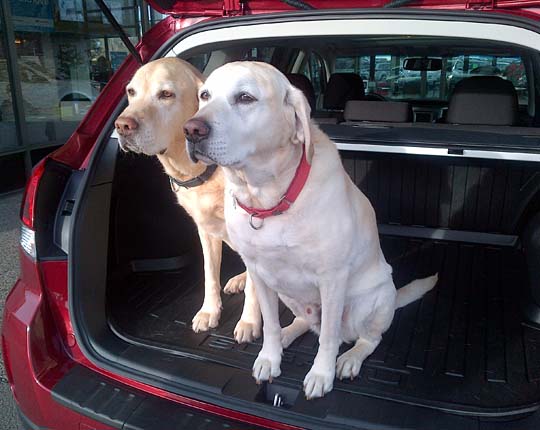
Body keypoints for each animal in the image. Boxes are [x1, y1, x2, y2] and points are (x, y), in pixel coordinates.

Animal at [114, 58, 262, 344]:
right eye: (131, 92)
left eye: (166, 94)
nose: (122, 125)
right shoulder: (206, 231)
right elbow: (209, 274)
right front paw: (209, 311)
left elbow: (254, 288)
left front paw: (249, 321)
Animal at [186, 61, 438, 400]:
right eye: (204, 95)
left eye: (245, 97)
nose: (191, 129)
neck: (268, 199)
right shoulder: (259, 273)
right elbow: (270, 325)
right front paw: (270, 357)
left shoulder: (331, 279)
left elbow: (329, 337)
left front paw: (321, 374)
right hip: (288, 293)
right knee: (304, 322)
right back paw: (288, 335)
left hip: (370, 300)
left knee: (365, 339)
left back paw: (349, 359)